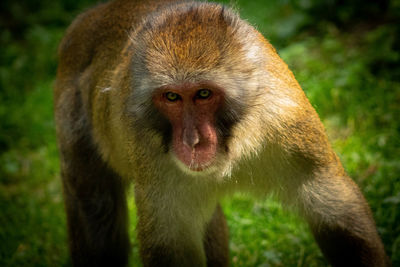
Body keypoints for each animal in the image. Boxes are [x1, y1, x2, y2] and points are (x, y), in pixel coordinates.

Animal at [54, 0, 390, 266]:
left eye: (203, 94)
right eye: (172, 97)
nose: (192, 141)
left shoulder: (286, 117)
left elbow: (332, 207)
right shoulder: (150, 153)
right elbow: (169, 246)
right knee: (97, 208)